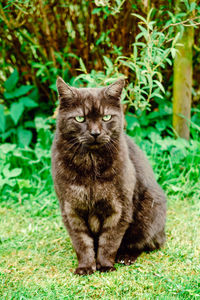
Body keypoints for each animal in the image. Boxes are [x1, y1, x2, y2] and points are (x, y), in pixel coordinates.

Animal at [50, 76, 166, 276]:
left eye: (106, 117)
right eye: (80, 118)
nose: (95, 133)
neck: (90, 165)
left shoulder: (118, 209)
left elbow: (109, 241)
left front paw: (105, 265)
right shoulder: (71, 209)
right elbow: (82, 242)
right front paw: (86, 267)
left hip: (150, 211)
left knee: (143, 243)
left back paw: (126, 257)